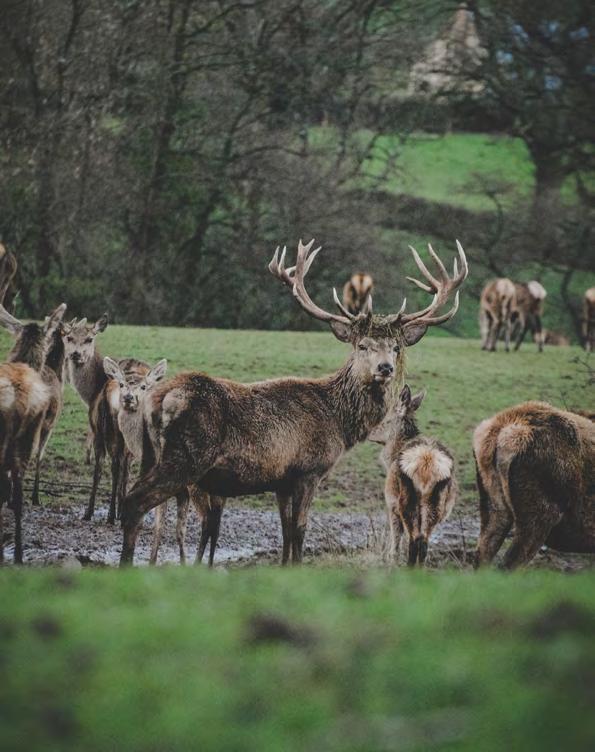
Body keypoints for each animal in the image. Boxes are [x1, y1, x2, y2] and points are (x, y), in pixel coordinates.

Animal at [61, 316, 148, 524]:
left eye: (89, 338)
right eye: (69, 337)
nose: (76, 354)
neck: (92, 392)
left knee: (111, 466)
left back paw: (103, 513)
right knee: (116, 466)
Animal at [370, 388, 458, 564]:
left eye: (385, 418)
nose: (368, 433)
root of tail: (426, 463)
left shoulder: (391, 505)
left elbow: (396, 543)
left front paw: (391, 560)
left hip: (405, 501)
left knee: (413, 540)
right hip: (436, 505)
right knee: (423, 541)